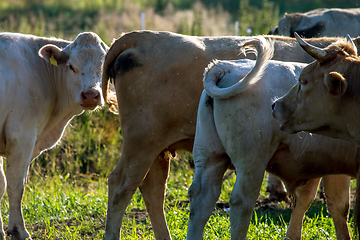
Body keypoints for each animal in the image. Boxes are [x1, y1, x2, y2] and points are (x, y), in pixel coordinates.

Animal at [0, 32, 108, 240]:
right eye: (71, 66)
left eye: (103, 66)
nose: (91, 95)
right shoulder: (22, 137)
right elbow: (15, 185)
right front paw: (19, 230)